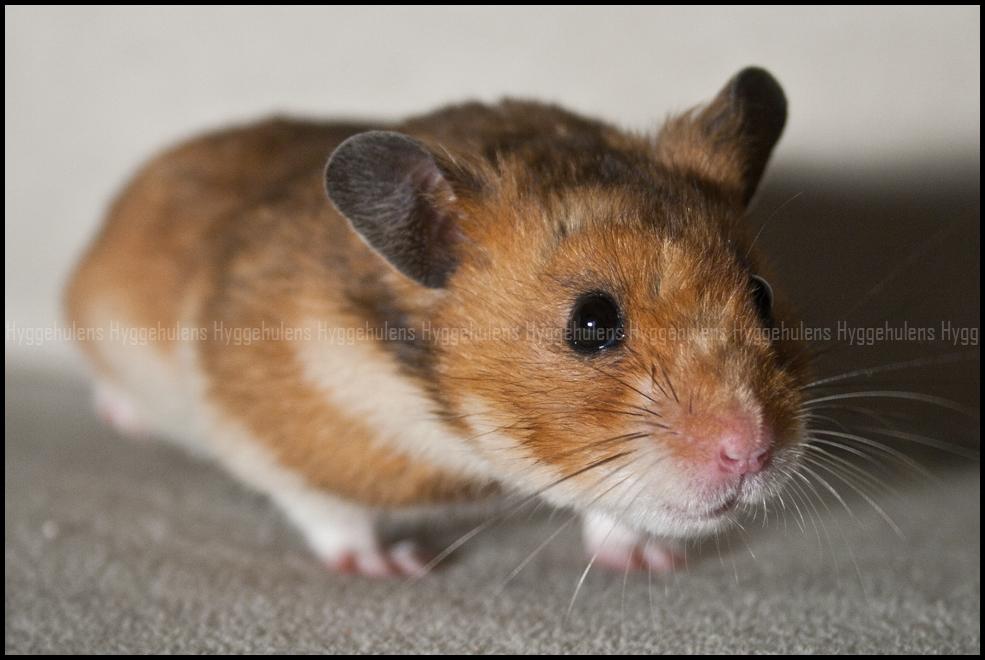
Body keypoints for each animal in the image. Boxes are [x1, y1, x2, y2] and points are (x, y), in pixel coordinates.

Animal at [65, 67, 808, 577]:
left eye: (762, 294)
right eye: (592, 322)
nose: (753, 452)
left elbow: (617, 510)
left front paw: (654, 563)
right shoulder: (274, 429)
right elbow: (328, 510)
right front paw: (395, 567)